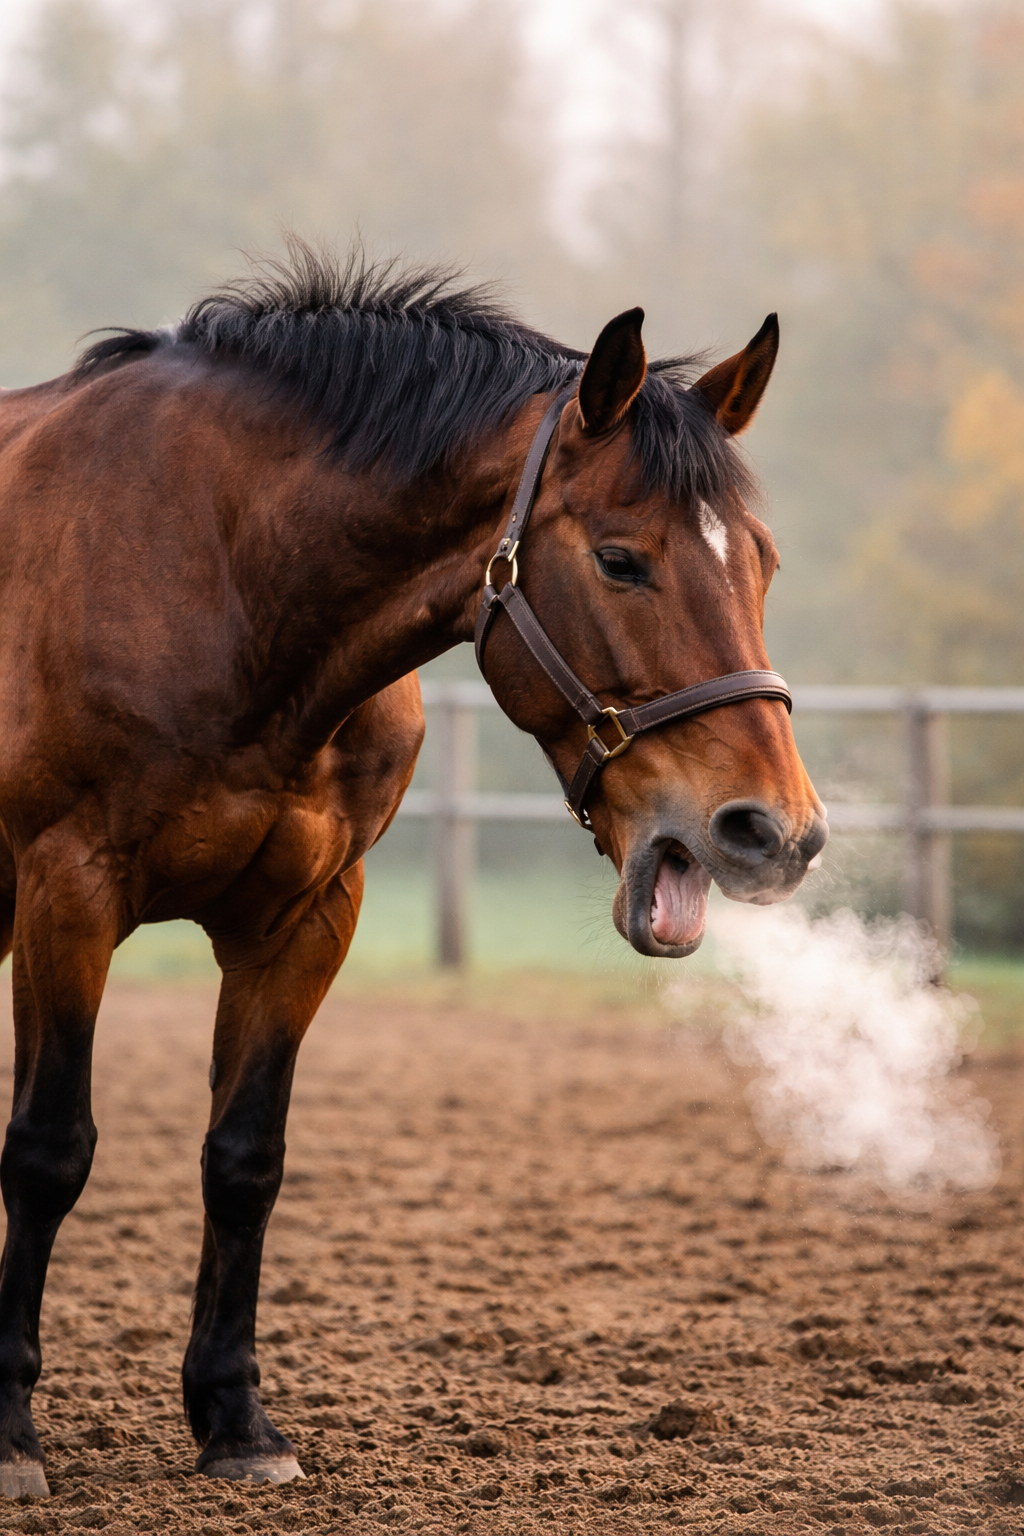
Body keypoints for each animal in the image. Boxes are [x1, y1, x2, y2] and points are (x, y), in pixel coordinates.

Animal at [0, 241, 826, 1494]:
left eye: (764, 563)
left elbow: (245, 1158)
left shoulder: (304, 920)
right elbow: (48, 1153)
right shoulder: (68, 895)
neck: (226, 579)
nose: (769, 832)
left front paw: (236, 1422)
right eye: (621, 560)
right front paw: (9, 1432)